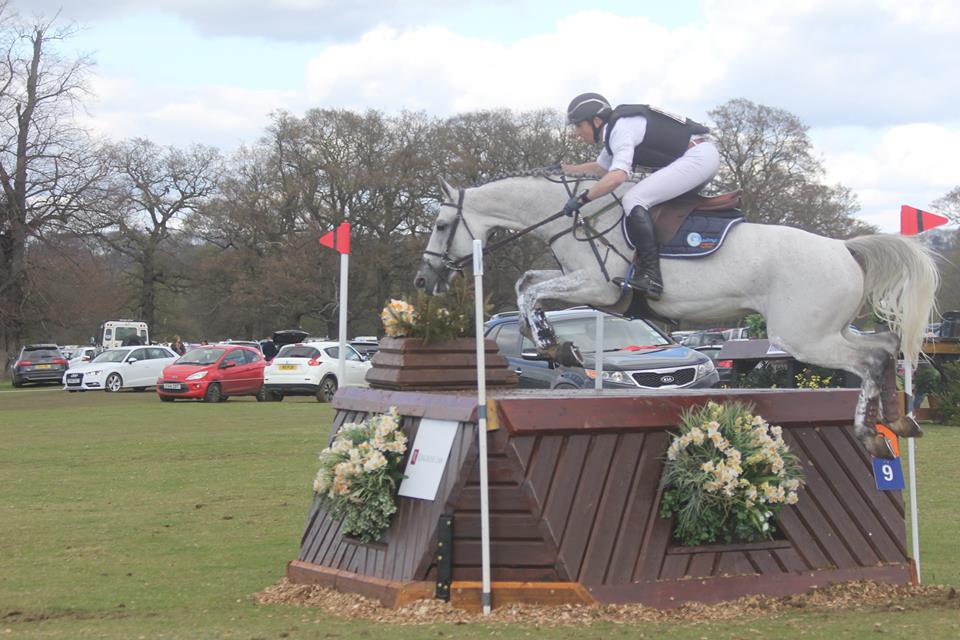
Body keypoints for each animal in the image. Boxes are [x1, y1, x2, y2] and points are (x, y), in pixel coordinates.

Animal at [412, 171, 936, 460]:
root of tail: (844, 249)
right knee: (888, 347)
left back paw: (870, 433)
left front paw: (552, 343)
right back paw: (900, 420)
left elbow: (532, 291)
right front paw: (552, 341)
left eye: (440, 224)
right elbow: (527, 285)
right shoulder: (589, 288)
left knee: (870, 360)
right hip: (829, 328)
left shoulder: (599, 286)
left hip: (803, 337)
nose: (422, 280)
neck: (576, 216)